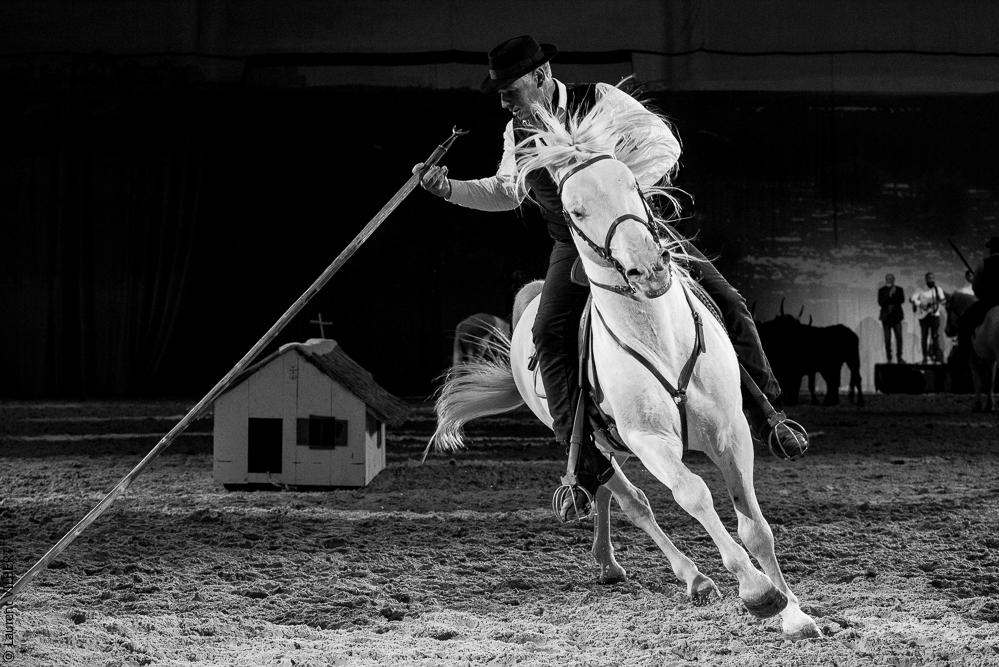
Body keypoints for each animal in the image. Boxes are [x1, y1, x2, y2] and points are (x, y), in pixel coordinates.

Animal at [427, 90, 819, 640]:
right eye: (574, 207)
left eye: (632, 185)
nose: (648, 269)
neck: (658, 338)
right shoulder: (649, 440)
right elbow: (693, 495)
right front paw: (758, 592)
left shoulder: (731, 430)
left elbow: (755, 526)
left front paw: (795, 614)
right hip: (592, 438)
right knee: (630, 498)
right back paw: (691, 577)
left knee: (611, 497)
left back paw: (609, 562)